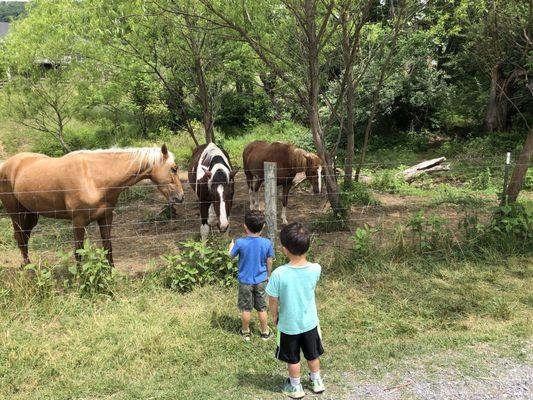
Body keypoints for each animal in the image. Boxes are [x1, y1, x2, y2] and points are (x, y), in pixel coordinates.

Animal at [0, 145, 183, 268]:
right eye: (173, 168)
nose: (180, 197)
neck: (93, 178)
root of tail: (8, 164)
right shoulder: (78, 222)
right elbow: (78, 252)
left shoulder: (106, 217)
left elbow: (108, 247)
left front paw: (111, 274)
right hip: (15, 213)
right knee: (20, 238)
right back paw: (28, 270)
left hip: (31, 214)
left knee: (25, 238)